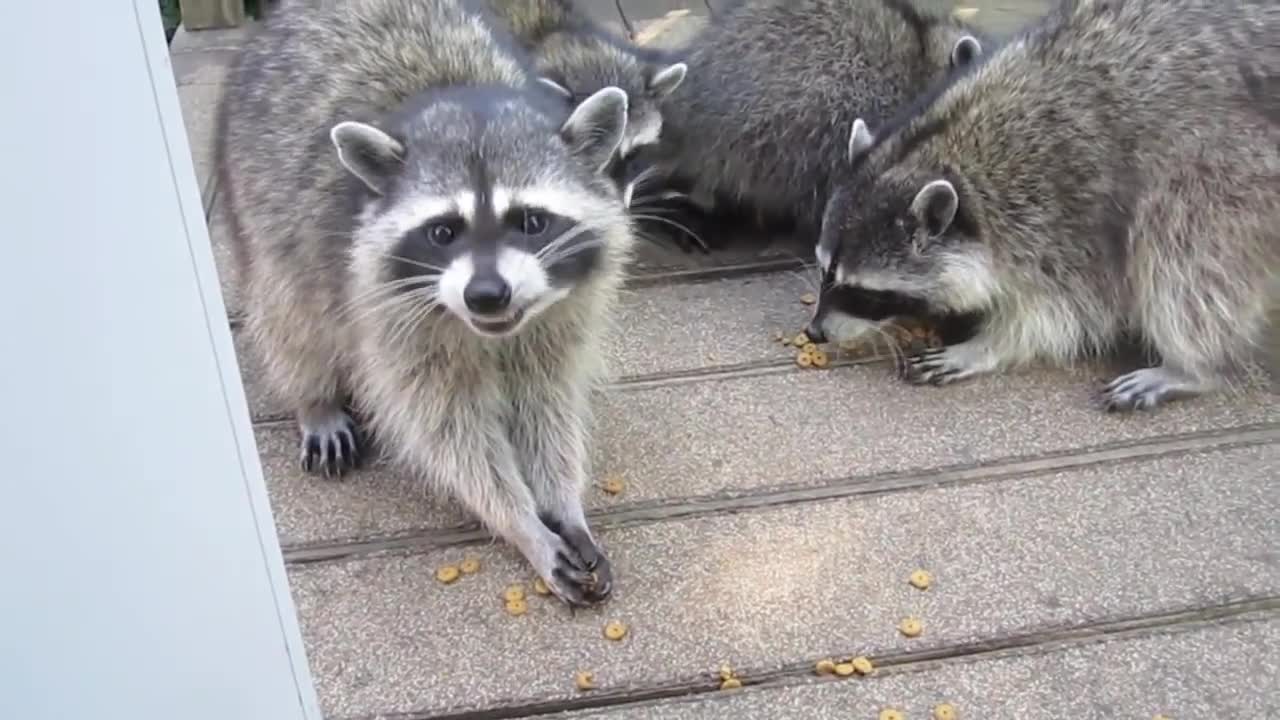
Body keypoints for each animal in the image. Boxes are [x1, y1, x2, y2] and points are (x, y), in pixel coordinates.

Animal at [220, 0, 640, 602]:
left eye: (532, 222)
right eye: (442, 232)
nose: (486, 295)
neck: (465, 101)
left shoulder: (563, 313)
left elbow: (547, 400)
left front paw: (562, 499)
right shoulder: (384, 309)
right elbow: (447, 427)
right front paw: (521, 521)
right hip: (264, 206)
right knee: (290, 314)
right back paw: (313, 397)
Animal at [808, 0, 1280, 412]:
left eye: (862, 293)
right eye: (824, 271)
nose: (814, 333)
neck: (946, 147)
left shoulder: (1071, 212)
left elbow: (1065, 313)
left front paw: (987, 345)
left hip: (1226, 172)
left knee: (1181, 256)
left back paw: (1193, 366)